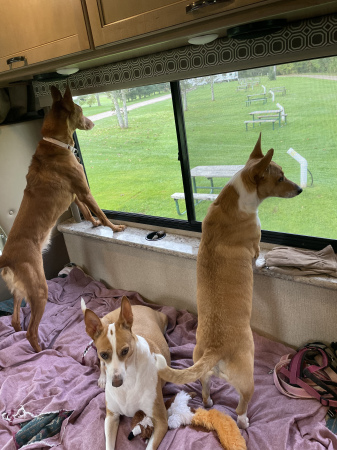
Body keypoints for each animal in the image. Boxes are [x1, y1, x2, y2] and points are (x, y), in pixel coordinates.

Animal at [0, 84, 124, 352]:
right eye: (81, 111)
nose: (92, 122)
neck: (56, 145)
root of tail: (6, 259)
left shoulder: (76, 195)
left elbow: (87, 211)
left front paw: (94, 224)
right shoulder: (84, 190)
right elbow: (98, 210)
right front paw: (113, 227)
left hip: (19, 292)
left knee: (15, 320)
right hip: (38, 289)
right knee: (31, 331)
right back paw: (40, 352)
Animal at [81, 296, 171, 450]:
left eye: (125, 351)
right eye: (104, 354)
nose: (116, 383)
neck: (129, 382)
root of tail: (137, 305)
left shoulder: (161, 421)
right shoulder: (111, 416)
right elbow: (109, 445)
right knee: (101, 365)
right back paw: (102, 379)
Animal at [155, 134, 302, 428]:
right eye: (280, 178)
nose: (301, 189)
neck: (235, 199)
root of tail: (215, 349)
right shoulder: (255, 244)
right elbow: (258, 255)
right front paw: (262, 262)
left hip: (200, 367)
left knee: (204, 388)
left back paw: (209, 402)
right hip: (247, 379)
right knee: (242, 405)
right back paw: (244, 421)